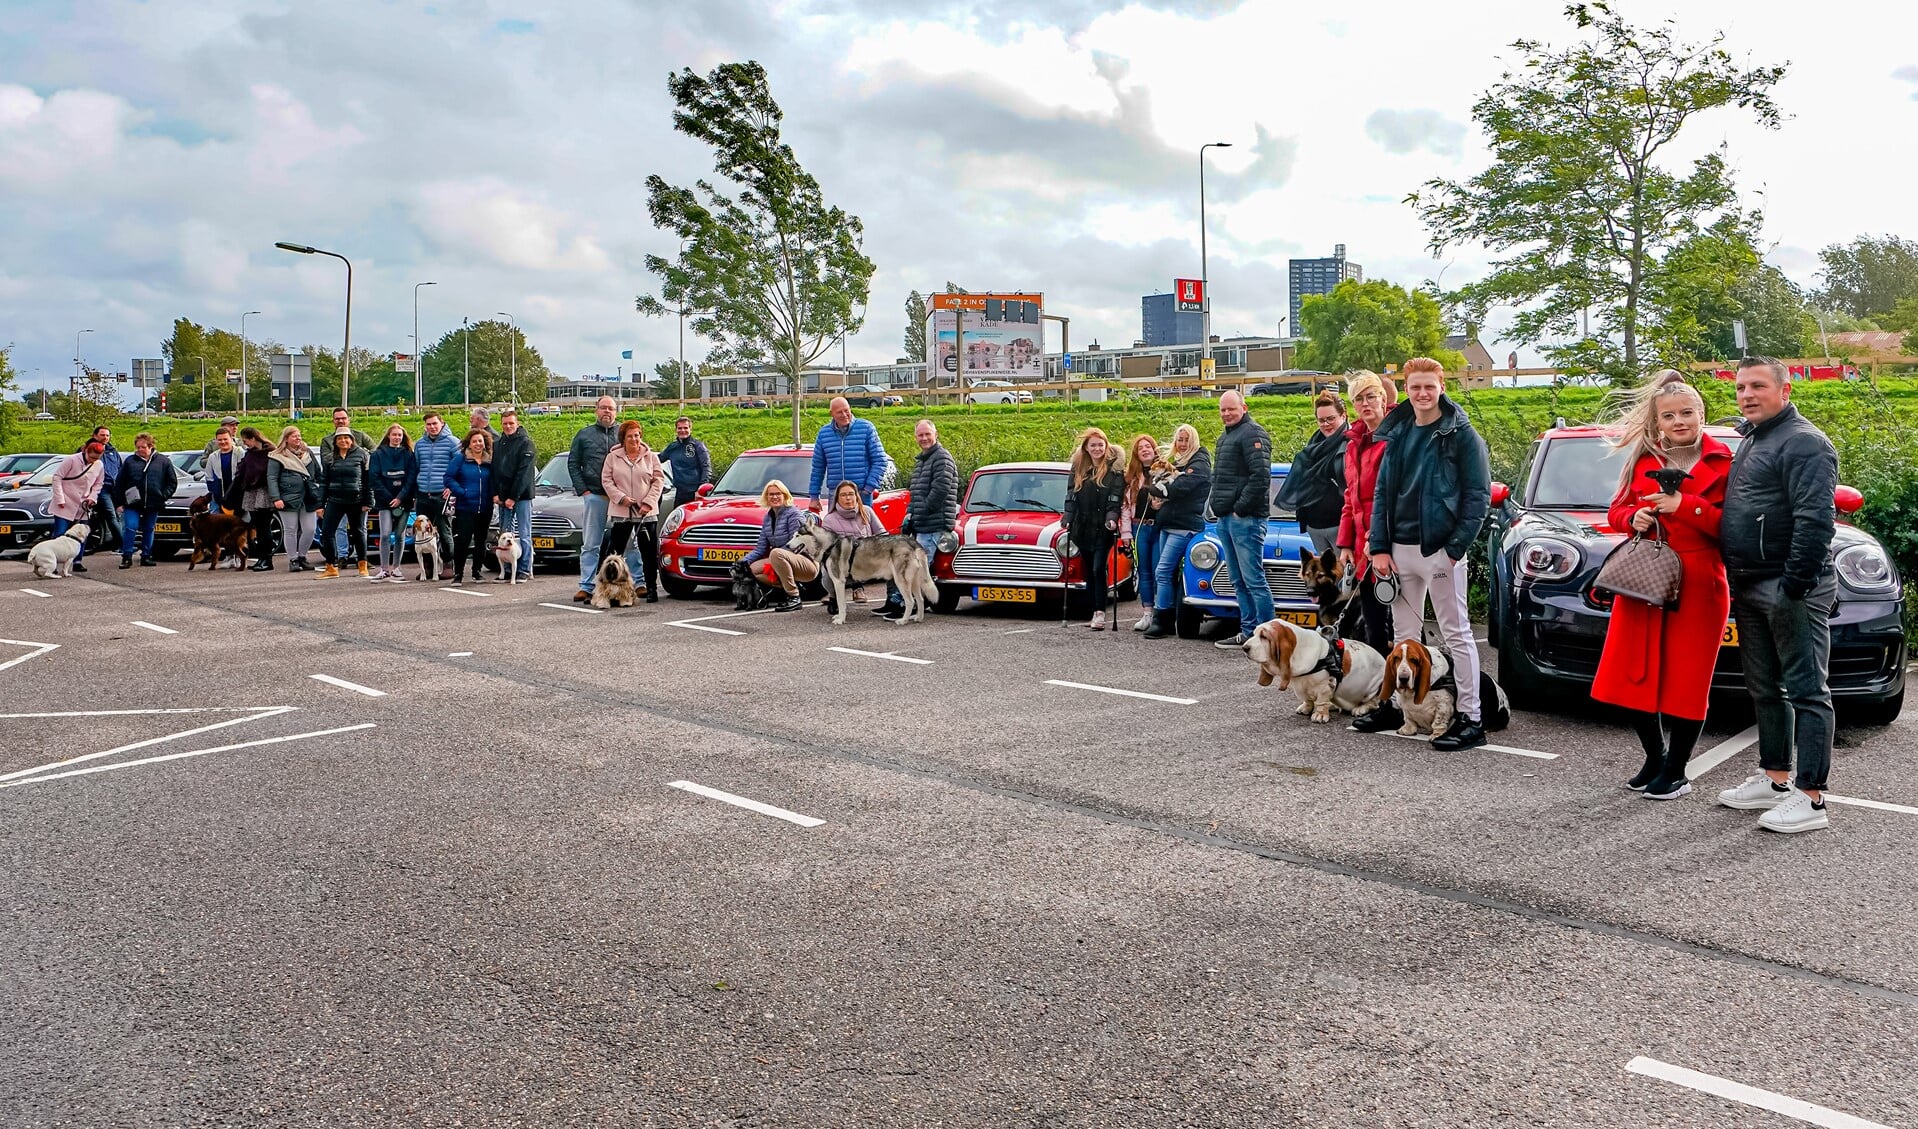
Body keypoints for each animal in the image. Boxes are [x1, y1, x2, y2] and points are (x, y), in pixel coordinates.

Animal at [782, 521, 939, 624]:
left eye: (797, 535)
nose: (787, 545)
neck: (828, 546)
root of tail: (911, 541)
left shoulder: (839, 581)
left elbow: (841, 604)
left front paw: (841, 619)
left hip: (901, 581)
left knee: (910, 601)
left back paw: (903, 620)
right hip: (914, 582)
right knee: (920, 599)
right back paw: (918, 618)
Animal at [1235, 617, 1388, 720]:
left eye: (1264, 636)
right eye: (1254, 633)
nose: (1245, 648)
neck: (1299, 649)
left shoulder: (1325, 686)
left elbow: (1321, 701)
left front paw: (1320, 715)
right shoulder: (1300, 686)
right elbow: (1307, 699)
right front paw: (1306, 708)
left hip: (1374, 689)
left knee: (1374, 703)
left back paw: (1360, 709)